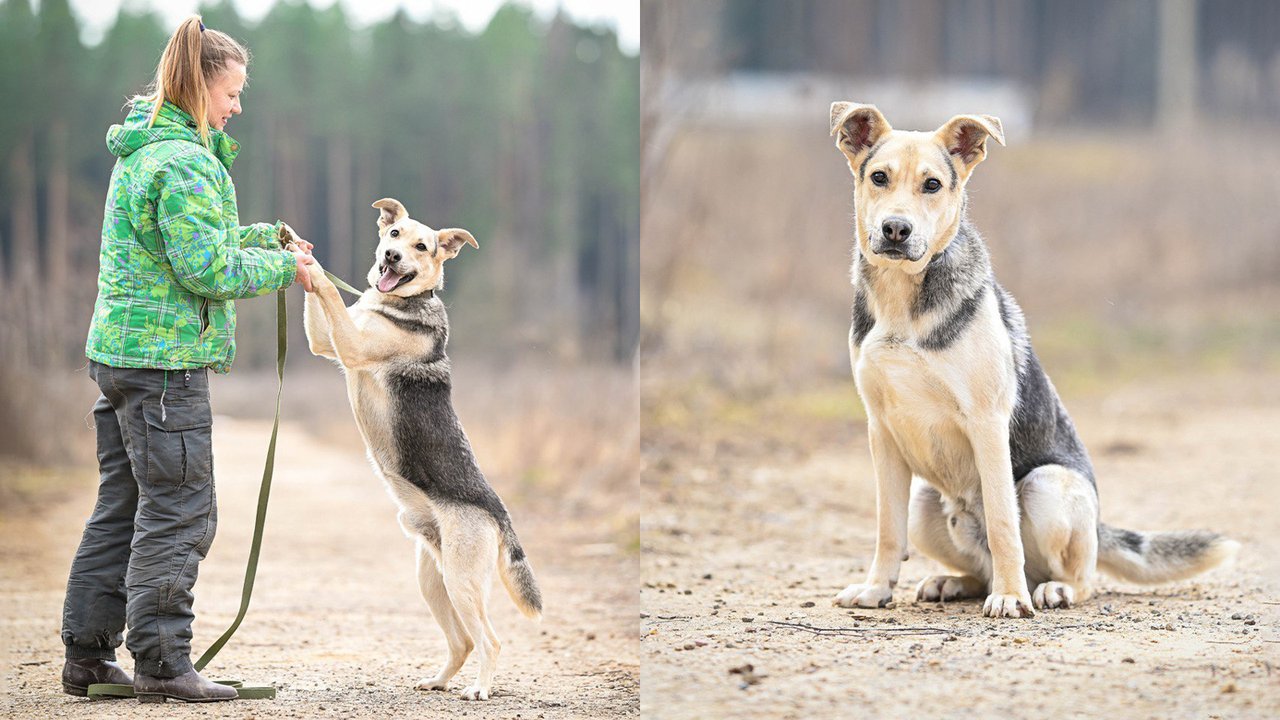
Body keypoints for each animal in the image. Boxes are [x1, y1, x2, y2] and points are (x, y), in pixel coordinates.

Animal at [296, 196, 542, 696]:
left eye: (421, 247)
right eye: (394, 235)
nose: (391, 258)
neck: (397, 301)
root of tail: (499, 513)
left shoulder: (350, 344)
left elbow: (328, 291)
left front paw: (308, 260)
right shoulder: (326, 341)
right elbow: (319, 298)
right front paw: (293, 245)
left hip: (462, 580)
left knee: (490, 640)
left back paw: (480, 689)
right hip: (433, 578)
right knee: (462, 642)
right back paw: (439, 681)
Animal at [829, 102, 1239, 617]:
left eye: (932, 185)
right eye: (878, 177)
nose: (896, 230)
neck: (904, 297)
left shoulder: (986, 422)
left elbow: (1003, 524)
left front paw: (1010, 598)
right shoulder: (881, 428)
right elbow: (887, 528)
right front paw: (876, 589)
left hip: (1047, 485)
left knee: (1077, 575)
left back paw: (1045, 590)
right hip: (925, 501)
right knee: (975, 565)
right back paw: (954, 582)